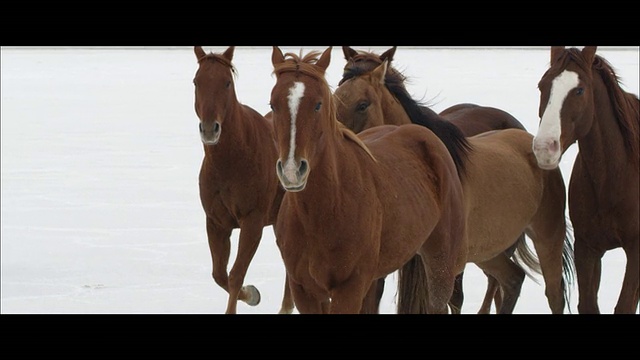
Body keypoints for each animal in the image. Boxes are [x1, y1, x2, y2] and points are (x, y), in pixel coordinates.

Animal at [191, 45, 294, 316]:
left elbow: (236, 274)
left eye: (227, 82)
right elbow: (220, 274)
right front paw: (252, 294)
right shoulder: (216, 223)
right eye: (196, 81)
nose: (210, 129)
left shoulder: (252, 222)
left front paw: (250, 295)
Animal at [268, 46, 468, 314]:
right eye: (273, 104)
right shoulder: (304, 290)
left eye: (318, 104)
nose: (292, 170)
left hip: (442, 266)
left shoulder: (349, 288)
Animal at [336, 47, 576, 312]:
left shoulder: (440, 264)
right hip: (488, 250)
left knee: (552, 293)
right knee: (512, 279)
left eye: (362, 105)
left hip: (546, 238)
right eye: (334, 94)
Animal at [532, 45, 636, 316]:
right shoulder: (587, 249)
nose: (544, 148)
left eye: (579, 90)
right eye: (542, 86)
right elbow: (588, 304)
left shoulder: (637, 249)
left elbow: (625, 306)